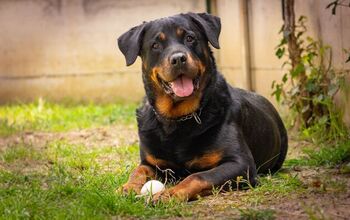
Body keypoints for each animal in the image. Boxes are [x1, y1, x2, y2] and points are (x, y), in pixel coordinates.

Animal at [117, 12, 288, 203]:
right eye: (155, 45)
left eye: (190, 38)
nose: (178, 58)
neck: (178, 120)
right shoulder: (152, 162)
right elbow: (139, 170)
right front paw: (128, 187)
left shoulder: (240, 163)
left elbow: (197, 176)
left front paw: (170, 193)